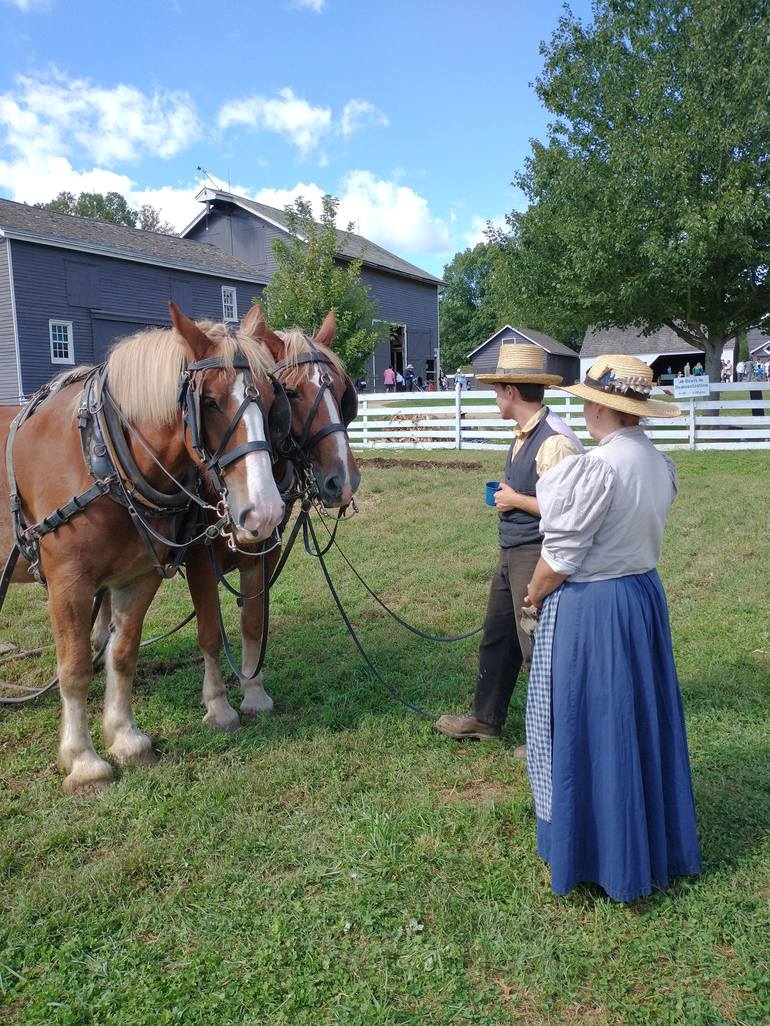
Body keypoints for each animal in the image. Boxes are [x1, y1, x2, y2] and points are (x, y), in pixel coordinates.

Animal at [0, 301, 287, 792]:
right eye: (209, 402)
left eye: (269, 401)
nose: (264, 511)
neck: (103, 458)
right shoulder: (68, 584)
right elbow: (74, 668)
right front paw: (83, 760)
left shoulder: (138, 577)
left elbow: (122, 654)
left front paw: (126, 738)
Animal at [182, 303, 361, 730]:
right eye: (291, 393)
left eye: (342, 392)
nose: (344, 482)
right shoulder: (199, 558)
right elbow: (209, 631)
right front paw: (218, 705)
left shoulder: (265, 551)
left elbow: (252, 622)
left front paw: (254, 694)